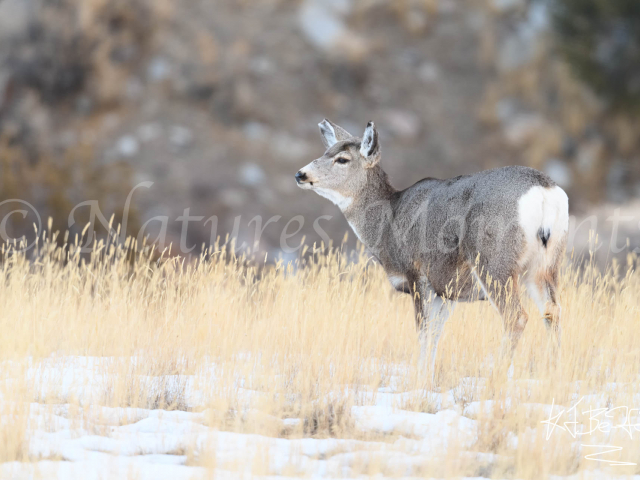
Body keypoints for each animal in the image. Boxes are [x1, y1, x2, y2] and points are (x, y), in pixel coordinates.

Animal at [295, 119, 569, 378]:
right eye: (326, 151)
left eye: (342, 159)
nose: (300, 174)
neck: (389, 221)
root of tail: (545, 193)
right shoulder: (446, 290)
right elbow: (436, 333)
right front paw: (427, 375)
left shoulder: (418, 275)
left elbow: (423, 332)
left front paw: (419, 378)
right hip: (544, 266)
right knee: (552, 312)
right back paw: (554, 371)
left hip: (493, 262)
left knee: (516, 317)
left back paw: (497, 376)